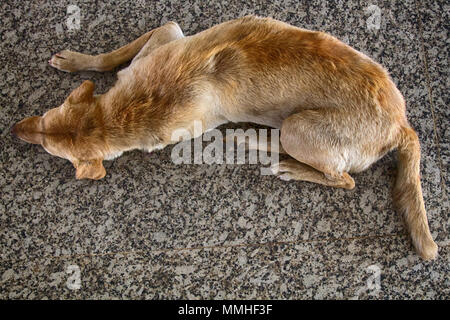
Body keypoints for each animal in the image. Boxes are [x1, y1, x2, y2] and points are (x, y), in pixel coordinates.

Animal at [12, 15, 438, 260]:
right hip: (296, 125)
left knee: (342, 178)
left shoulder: (169, 43)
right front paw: (80, 61)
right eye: (45, 120)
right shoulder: (165, 35)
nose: (14, 131)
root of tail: (402, 124)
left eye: (49, 148)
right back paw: (251, 141)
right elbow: (115, 56)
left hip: (300, 129)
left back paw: (286, 165)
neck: (122, 111)